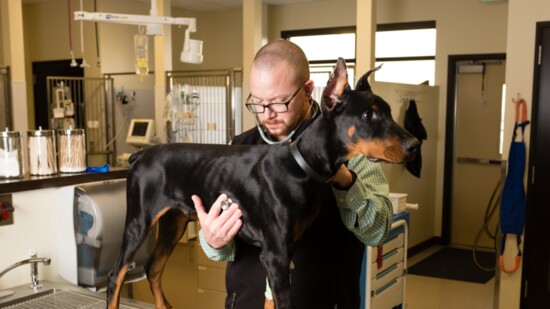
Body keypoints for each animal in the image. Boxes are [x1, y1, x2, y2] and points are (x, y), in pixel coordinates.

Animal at [106, 58, 418, 308]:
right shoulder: (276, 254)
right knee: (115, 274)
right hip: (139, 221)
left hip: (174, 221)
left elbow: (269, 299)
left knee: (153, 267)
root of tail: (141, 154)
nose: (415, 145)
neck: (301, 164)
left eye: (389, 112)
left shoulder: (281, 254)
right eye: (368, 114)